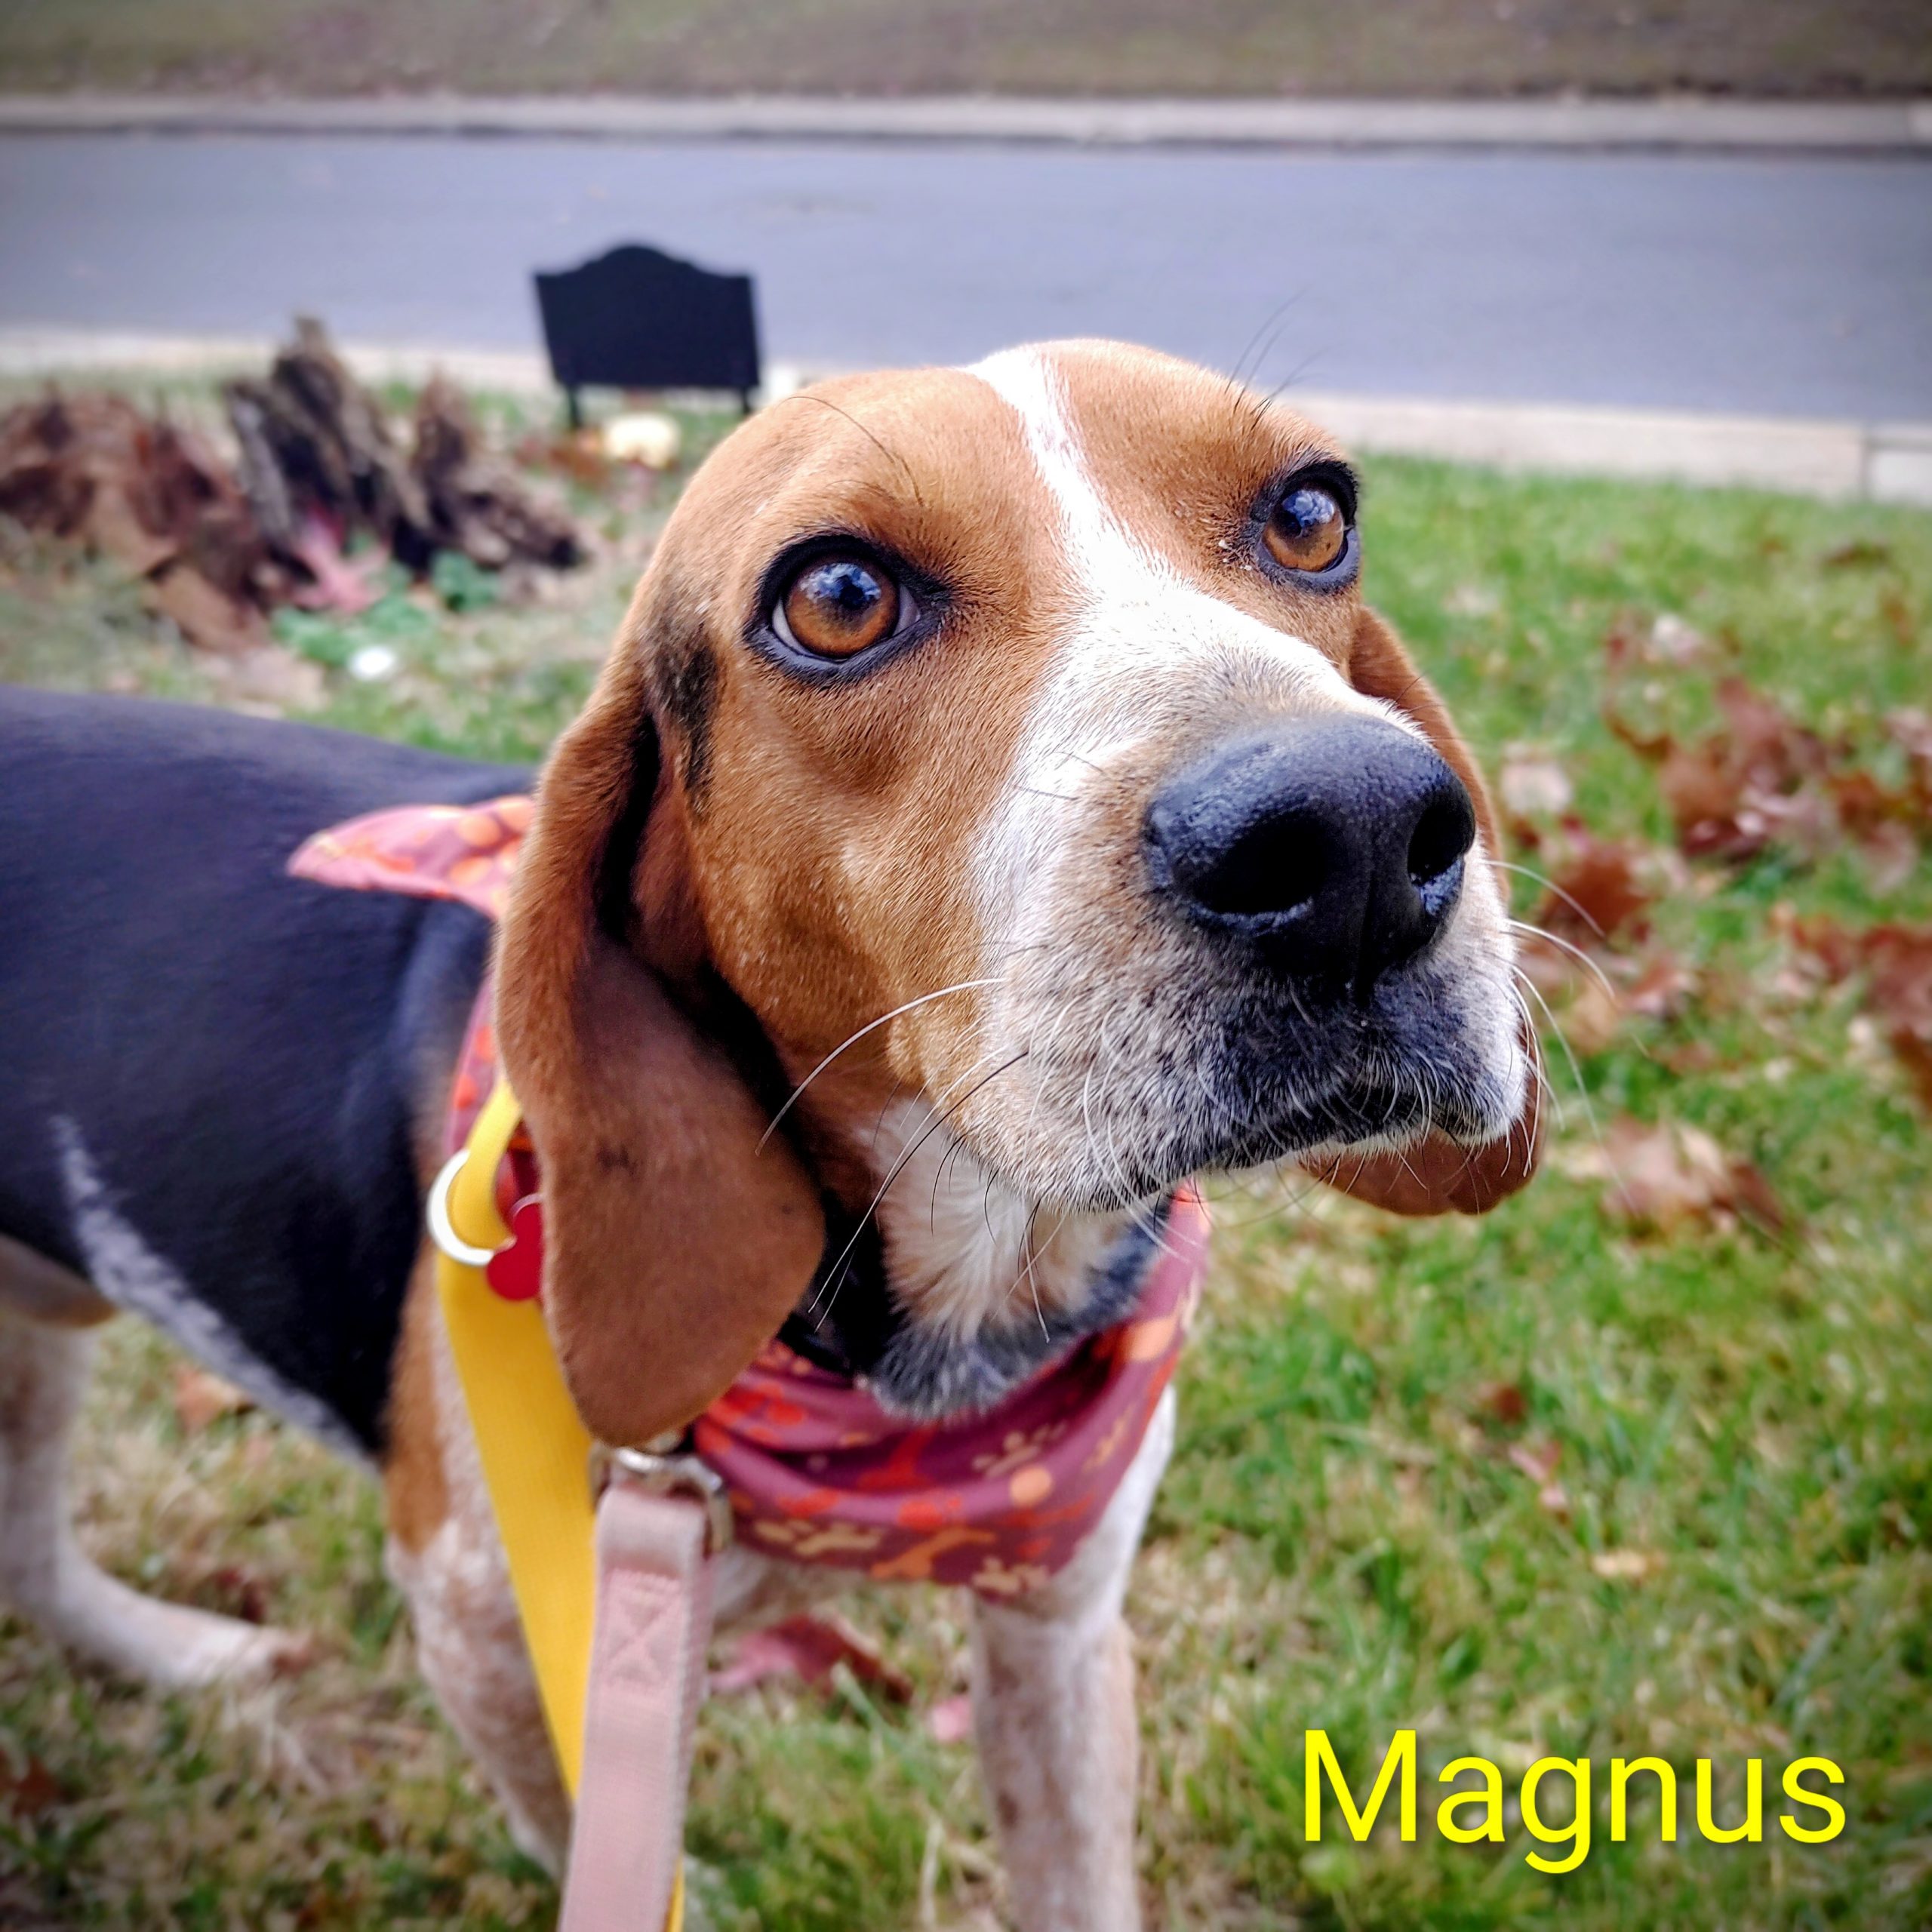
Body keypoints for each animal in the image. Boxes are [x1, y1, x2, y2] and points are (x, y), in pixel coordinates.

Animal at [0, 340, 1539, 1929]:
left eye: (1313, 515)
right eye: (839, 597)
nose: (1355, 838)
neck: (931, 1347)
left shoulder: (1060, 1631)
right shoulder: (496, 1640)